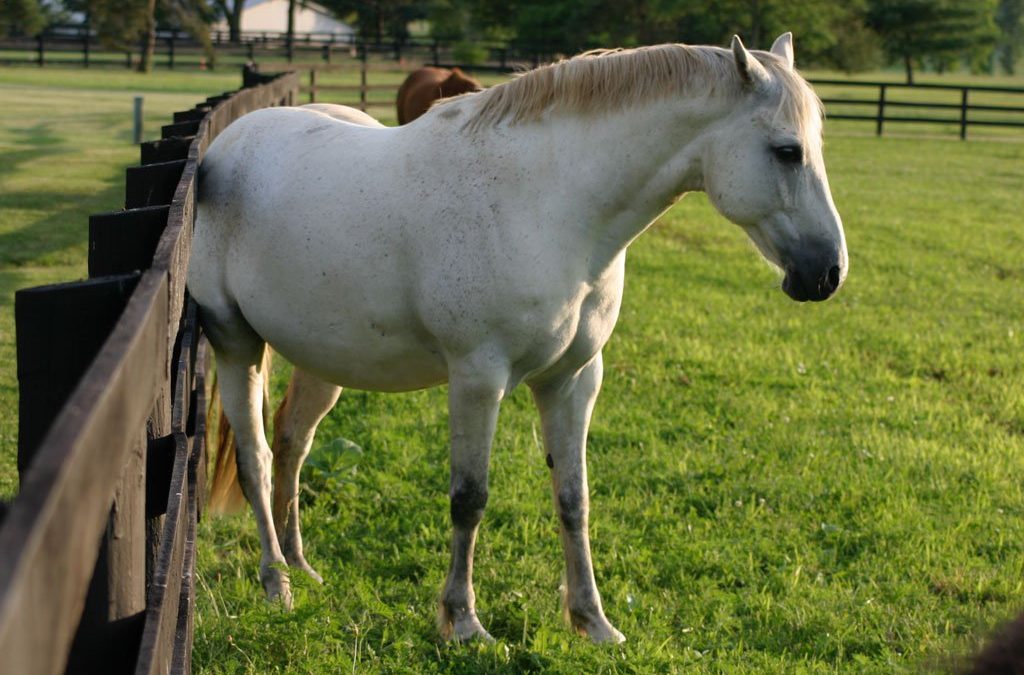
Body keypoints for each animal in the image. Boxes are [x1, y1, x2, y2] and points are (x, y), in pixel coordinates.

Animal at [190, 33, 847, 643]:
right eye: (787, 152)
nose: (828, 272)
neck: (548, 205)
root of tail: (225, 145)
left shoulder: (572, 380)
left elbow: (574, 498)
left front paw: (593, 621)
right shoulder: (478, 378)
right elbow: (469, 498)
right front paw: (462, 623)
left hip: (324, 361)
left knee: (293, 445)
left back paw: (301, 566)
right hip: (237, 346)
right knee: (256, 458)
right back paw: (276, 583)